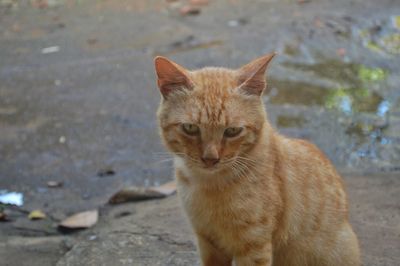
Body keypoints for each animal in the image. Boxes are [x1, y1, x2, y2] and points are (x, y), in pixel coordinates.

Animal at [153, 54, 360, 266]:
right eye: (190, 128)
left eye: (232, 131)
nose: (210, 159)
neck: (209, 185)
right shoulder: (208, 242)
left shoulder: (253, 246)